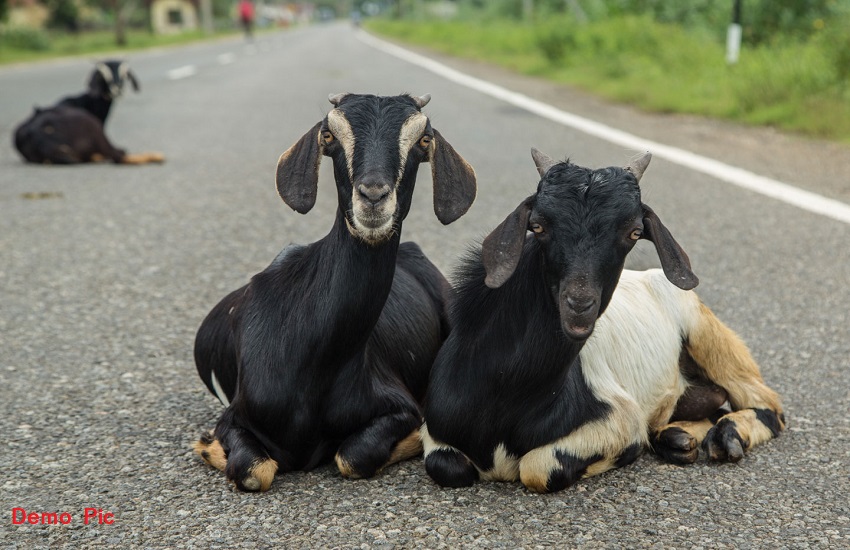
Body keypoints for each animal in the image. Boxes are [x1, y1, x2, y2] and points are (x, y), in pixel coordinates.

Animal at [12, 60, 164, 165]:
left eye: (124, 75)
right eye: (104, 77)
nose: (117, 89)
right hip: (92, 126)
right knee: (118, 156)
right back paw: (158, 156)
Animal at [191, 92, 476, 494]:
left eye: (423, 140)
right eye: (329, 136)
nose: (373, 196)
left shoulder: (399, 404)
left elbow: (353, 457)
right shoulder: (234, 416)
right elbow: (251, 470)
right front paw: (207, 446)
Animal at [420, 149, 784, 494]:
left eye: (634, 232)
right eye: (537, 226)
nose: (579, 305)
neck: (503, 391)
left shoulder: (620, 420)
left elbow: (538, 468)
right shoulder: (435, 432)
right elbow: (445, 467)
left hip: (707, 333)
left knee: (768, 406)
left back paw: (727, 437)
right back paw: (678, 439)